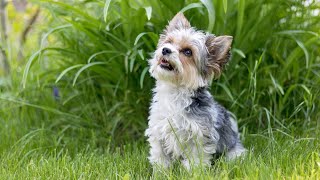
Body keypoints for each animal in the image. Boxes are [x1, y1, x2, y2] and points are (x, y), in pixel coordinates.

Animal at [146, 12, 248, 170]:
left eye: (188, 52)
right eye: (169, 42)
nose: (165, 50)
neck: (175, 92)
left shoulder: (199, 136)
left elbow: (195, 161)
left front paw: (192, 172)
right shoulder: (159, 133)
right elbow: (161, 158)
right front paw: (161, 172)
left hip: (234, 152)